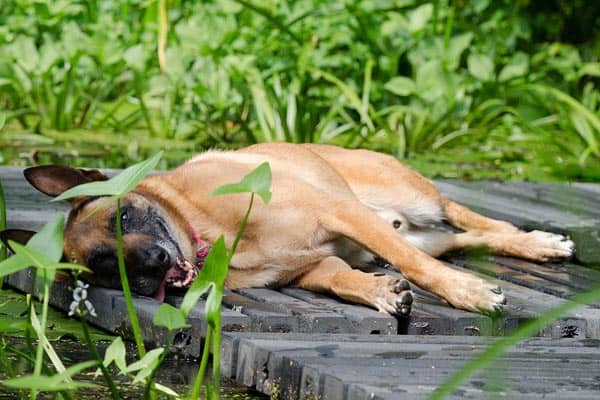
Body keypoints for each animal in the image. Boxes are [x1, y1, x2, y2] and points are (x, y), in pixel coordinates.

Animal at [0, 144, 576, 316]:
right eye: (101, 266)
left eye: (122, 218)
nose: (150, 268)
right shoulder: (311, 267)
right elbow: (341, 278)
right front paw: (380, 292)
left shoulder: (339, 213)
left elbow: (419, 268)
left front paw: (467, 293)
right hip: (418, 229)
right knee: (463, 239)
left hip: (415, 199)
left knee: (467, 218)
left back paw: (538, 242)